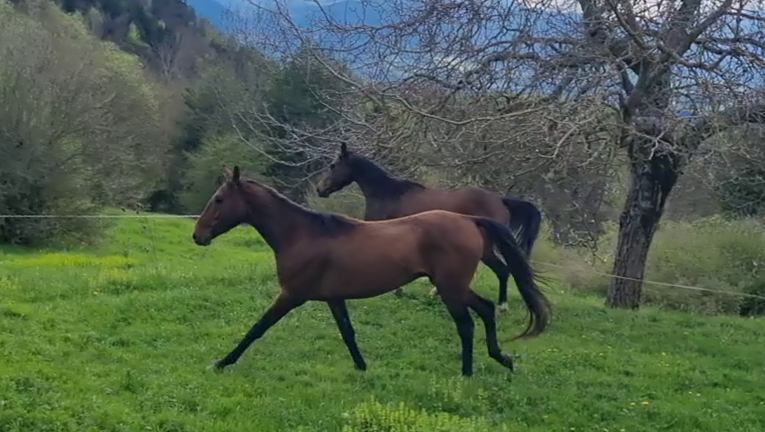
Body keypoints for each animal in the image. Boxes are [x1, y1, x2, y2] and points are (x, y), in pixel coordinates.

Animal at [192, 166, 551, 377]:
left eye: (219, 199)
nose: (198, 235)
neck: (302, 234)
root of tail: (470, 220)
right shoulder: (333, 298)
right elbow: (348, 333)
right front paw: (362, 367)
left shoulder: (291, 295)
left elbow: (256, 329)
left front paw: (222, 362)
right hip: (456, 286)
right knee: (486, 309)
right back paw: (501, 358)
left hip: (451, 288)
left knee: (466, 323)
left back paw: (467, 372)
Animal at [315, 143, 543, 311]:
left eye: (333, 165)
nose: (320, 189)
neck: (388, 194)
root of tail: (501, 201)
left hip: (486, 248)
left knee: (502, 270)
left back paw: (500, 306)